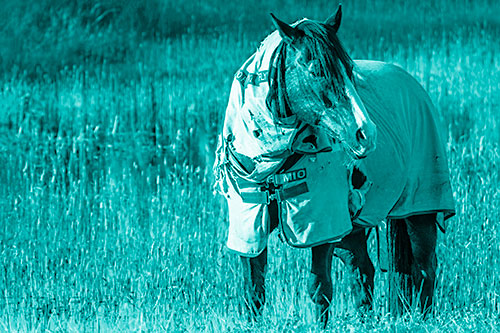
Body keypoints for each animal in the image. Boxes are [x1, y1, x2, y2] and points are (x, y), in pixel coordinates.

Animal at [213, 4, 456, 326]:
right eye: (317, 70)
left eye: (350, 70)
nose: (366, 133)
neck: (273, 159)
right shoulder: (250, 224)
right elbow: (254, 291)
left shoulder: (321, 225)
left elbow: (319, 288)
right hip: (352, 229)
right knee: (363, 270)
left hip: (419, 211)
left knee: (425, 267)